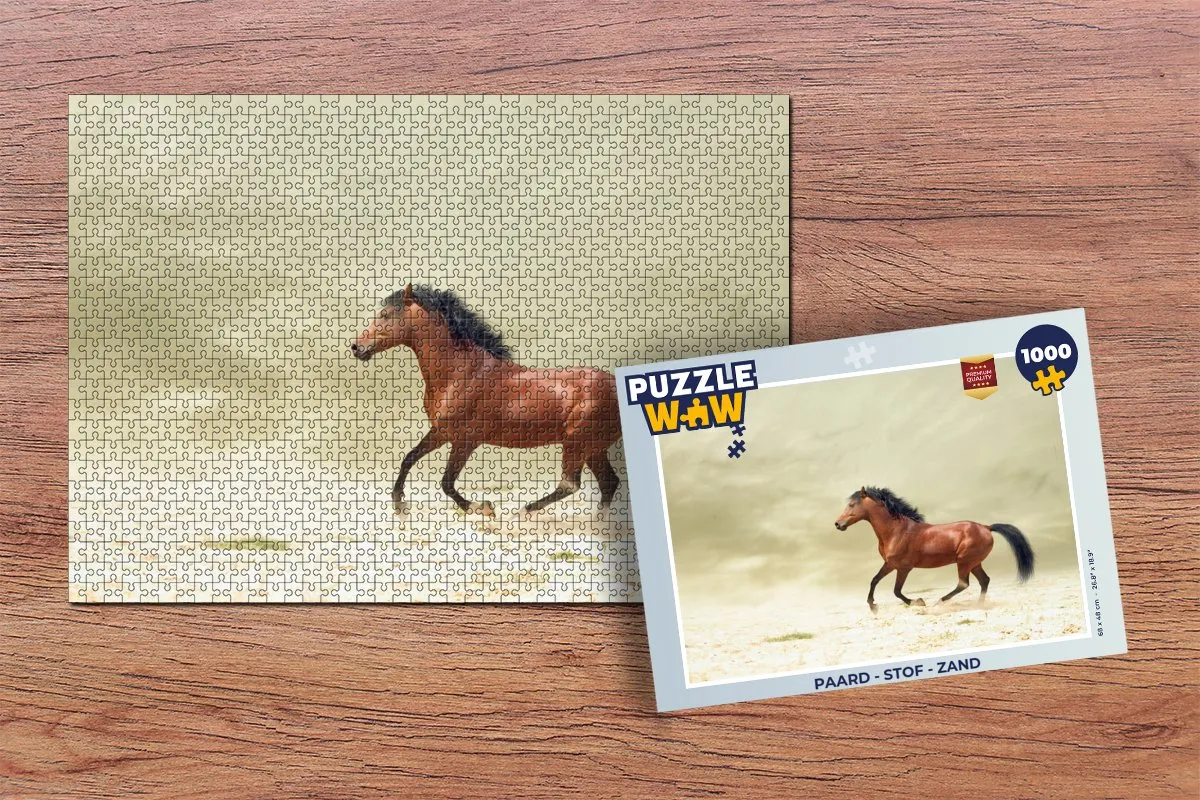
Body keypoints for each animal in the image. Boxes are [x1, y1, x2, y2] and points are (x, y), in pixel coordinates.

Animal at [351, 283, 621, 517]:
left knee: (570, 484)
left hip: (578, 444)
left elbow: (446, 483)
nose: (357, 347)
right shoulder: (441, 432)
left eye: (385, 315)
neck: (460, 372)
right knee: (609, 483)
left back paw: (522, 513)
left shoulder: (466, 440)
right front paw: (399, 505)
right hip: (594, 448)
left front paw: (482, 508)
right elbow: (409, 458)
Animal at [834, 486, 1034, 613]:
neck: (896, 530)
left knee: (963, 583)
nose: (838, 524)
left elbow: (896, 591)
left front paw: (918, 602)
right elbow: (874, 580)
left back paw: (940, 601)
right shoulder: (890, 564)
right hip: (975, 563)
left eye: (852, 505)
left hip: (965, 561)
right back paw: (978, 605)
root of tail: (986, 527)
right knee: (984, 581)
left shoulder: (903, 567)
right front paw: (873, 606)